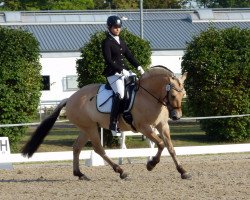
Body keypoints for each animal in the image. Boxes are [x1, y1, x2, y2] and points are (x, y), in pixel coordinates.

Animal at [22, 65, 191, 180]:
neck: (149, 95)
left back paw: (80, 174)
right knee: (98, 149)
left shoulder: (162, 126)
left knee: (77, 147)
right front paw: (151, 164)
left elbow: (170, 148)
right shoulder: (144, 127)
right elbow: (161, 144)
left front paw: (183, 171)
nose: (176, 116)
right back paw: (121, 171)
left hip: (86, 128)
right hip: (91, 128)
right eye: (173, 94)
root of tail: (69, 99)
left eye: (183, 94)